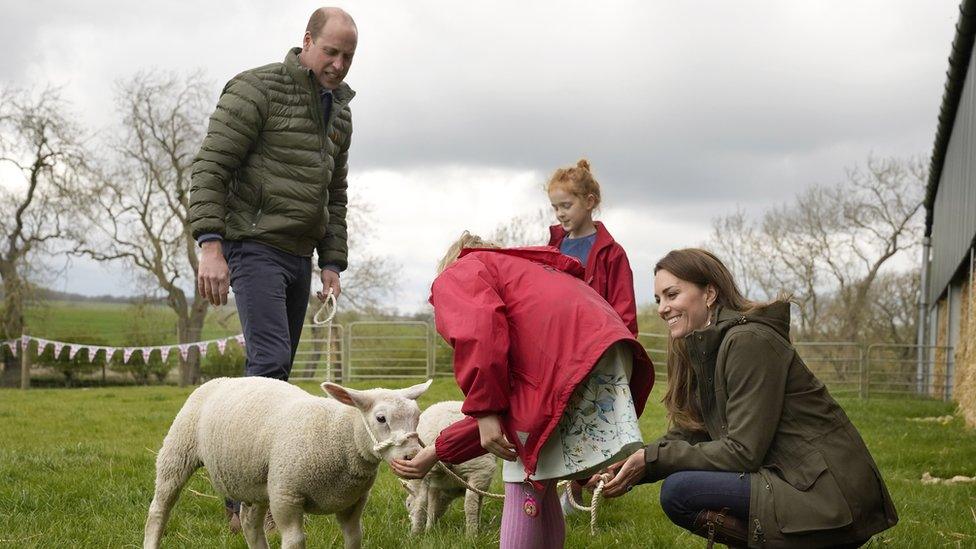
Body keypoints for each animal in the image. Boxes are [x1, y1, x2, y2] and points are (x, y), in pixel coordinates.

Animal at [142, 376, 430, 548]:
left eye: (417, 416)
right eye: (381, 418)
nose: (412, 456)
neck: (338, 434)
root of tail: (223, 379)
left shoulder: (353, 501)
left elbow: (354, 537)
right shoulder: (286, 496)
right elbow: (295, 541)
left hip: (256, 478)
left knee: (249, 521)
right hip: (178, 450)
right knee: (159, 508)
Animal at [402, 400, 496, 532]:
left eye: (408, 504)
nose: (409, 521)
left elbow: (431, 506)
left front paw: (428, 529)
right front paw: (429, 529)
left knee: (422, 500)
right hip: (478, 467)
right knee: (470, 502)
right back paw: (471, 533)